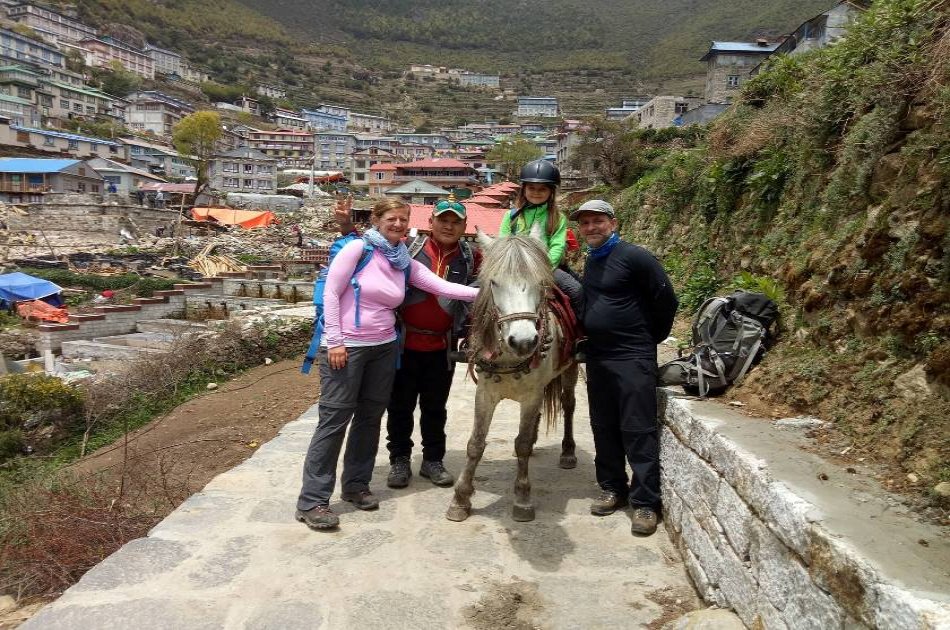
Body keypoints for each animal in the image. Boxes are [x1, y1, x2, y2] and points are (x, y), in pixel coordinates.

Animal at [446, 232, 580, 524]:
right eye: (494, 282)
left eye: (541, 282)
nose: (523, 341)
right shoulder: (485, 394)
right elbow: (475, 444)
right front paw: (460, 499)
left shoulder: (531, 396)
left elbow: (522, 444)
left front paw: (522, 498)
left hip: (571, 369)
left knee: (568, 405)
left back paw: (568, 452)